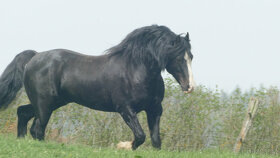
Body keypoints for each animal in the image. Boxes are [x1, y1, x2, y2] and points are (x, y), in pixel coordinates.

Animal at [0, 24, 195, 149]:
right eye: (178, 58)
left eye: (191, 56)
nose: (189, 87)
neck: (136, 71)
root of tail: (35, 56)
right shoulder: (125, 109)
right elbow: (140, 136)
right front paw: (122, 145)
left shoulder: (155, 109)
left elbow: (155, 140)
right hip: (44, 105)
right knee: (37, 129)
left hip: (51, 103)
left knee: (23, 113)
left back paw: (21, 141)